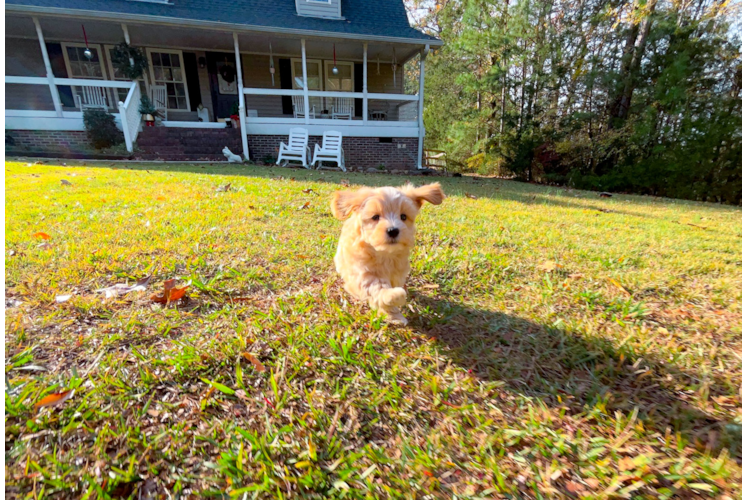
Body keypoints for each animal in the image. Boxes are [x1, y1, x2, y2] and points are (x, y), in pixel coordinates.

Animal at [332, 182, 444, 326]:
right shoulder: (363, 272)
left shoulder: (397, 274)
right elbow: (377, 288)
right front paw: (394, 297)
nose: (393, 230)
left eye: (403, 216)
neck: (385, 253)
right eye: (375, 217)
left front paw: (393, 314)